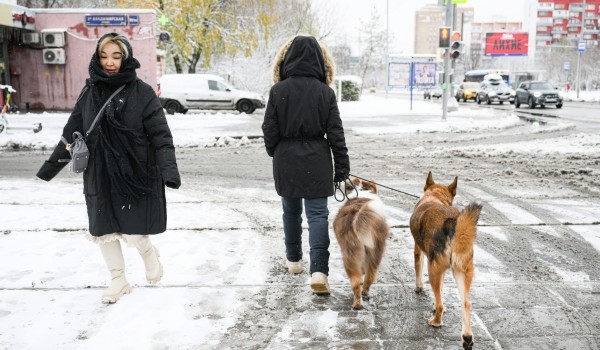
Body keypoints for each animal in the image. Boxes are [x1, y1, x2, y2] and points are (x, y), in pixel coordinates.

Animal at [332, 178, 390, 308]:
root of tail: (358, 213)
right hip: (375, 250)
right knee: (368, 276)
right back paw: (362, 297)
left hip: (350, 252)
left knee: (357, 280)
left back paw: (359, 301)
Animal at [408, 171, 482, 348]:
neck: (435, 196)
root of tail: (452, 224)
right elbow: (440, 291)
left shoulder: (420, 252)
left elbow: (419, 272)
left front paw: (419, 288)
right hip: (463, 271)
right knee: (466, 303)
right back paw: (467, 337)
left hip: (433, 270)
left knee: (441, 305)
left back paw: (436, 321)